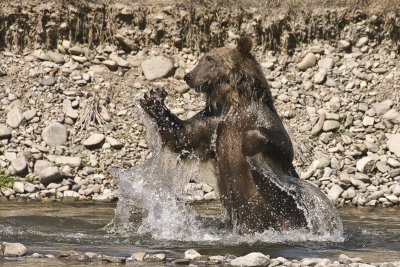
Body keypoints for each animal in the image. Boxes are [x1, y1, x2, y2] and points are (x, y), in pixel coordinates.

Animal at [140, 36, 340, 234]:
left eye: (209, 59)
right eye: (203, 58)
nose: (188, 76)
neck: (234, 103)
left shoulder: (260, 118)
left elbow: (283, 147)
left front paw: (248, 143)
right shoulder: (213, 124)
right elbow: (184, 136)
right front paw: (153, 100)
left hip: (286, 217)